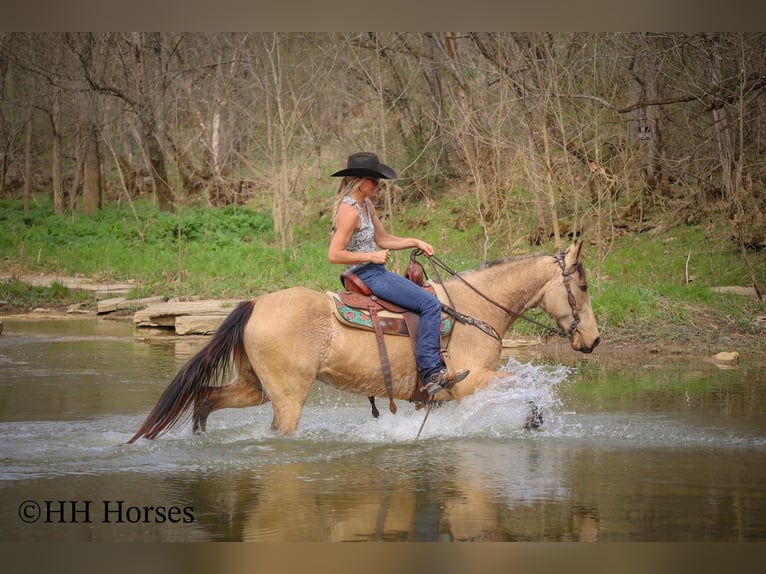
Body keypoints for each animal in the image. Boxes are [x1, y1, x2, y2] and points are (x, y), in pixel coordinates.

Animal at [126, 240, 599, 442]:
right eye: (583, 286)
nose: (594, 340)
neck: (474, 310)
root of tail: (256, 303)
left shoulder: (445, 397)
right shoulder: (471, 381)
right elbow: (526, 388)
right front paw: (532, 419)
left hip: (253, 386)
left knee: (206, 398)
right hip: (287, 396)